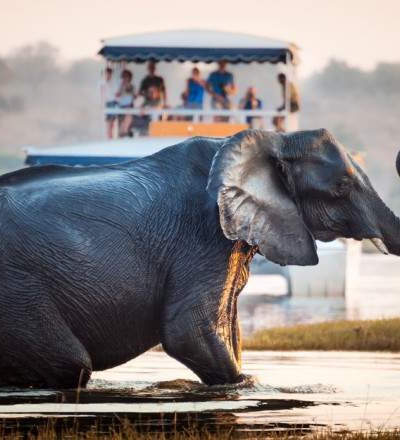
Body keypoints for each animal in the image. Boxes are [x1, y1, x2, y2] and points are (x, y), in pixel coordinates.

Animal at [0, 128, 400, 388]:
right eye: (341, 187)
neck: (274, 139)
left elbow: (228, 329)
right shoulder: (202, 234)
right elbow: (188, 332)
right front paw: (247, 384)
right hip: (18, 289)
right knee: (71, 364)